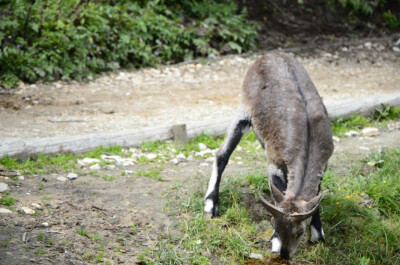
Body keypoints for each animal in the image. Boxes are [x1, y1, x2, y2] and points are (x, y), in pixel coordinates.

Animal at [205, 51, 332, 258]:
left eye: (300, 231)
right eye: (274, 225)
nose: (285, 254)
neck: (307, 139)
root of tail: (267, 55)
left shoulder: (323, 165)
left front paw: (317, 234)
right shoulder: (275, 163)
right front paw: (275, 243)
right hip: (243, 111)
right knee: (222, 154)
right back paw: (210, 205)